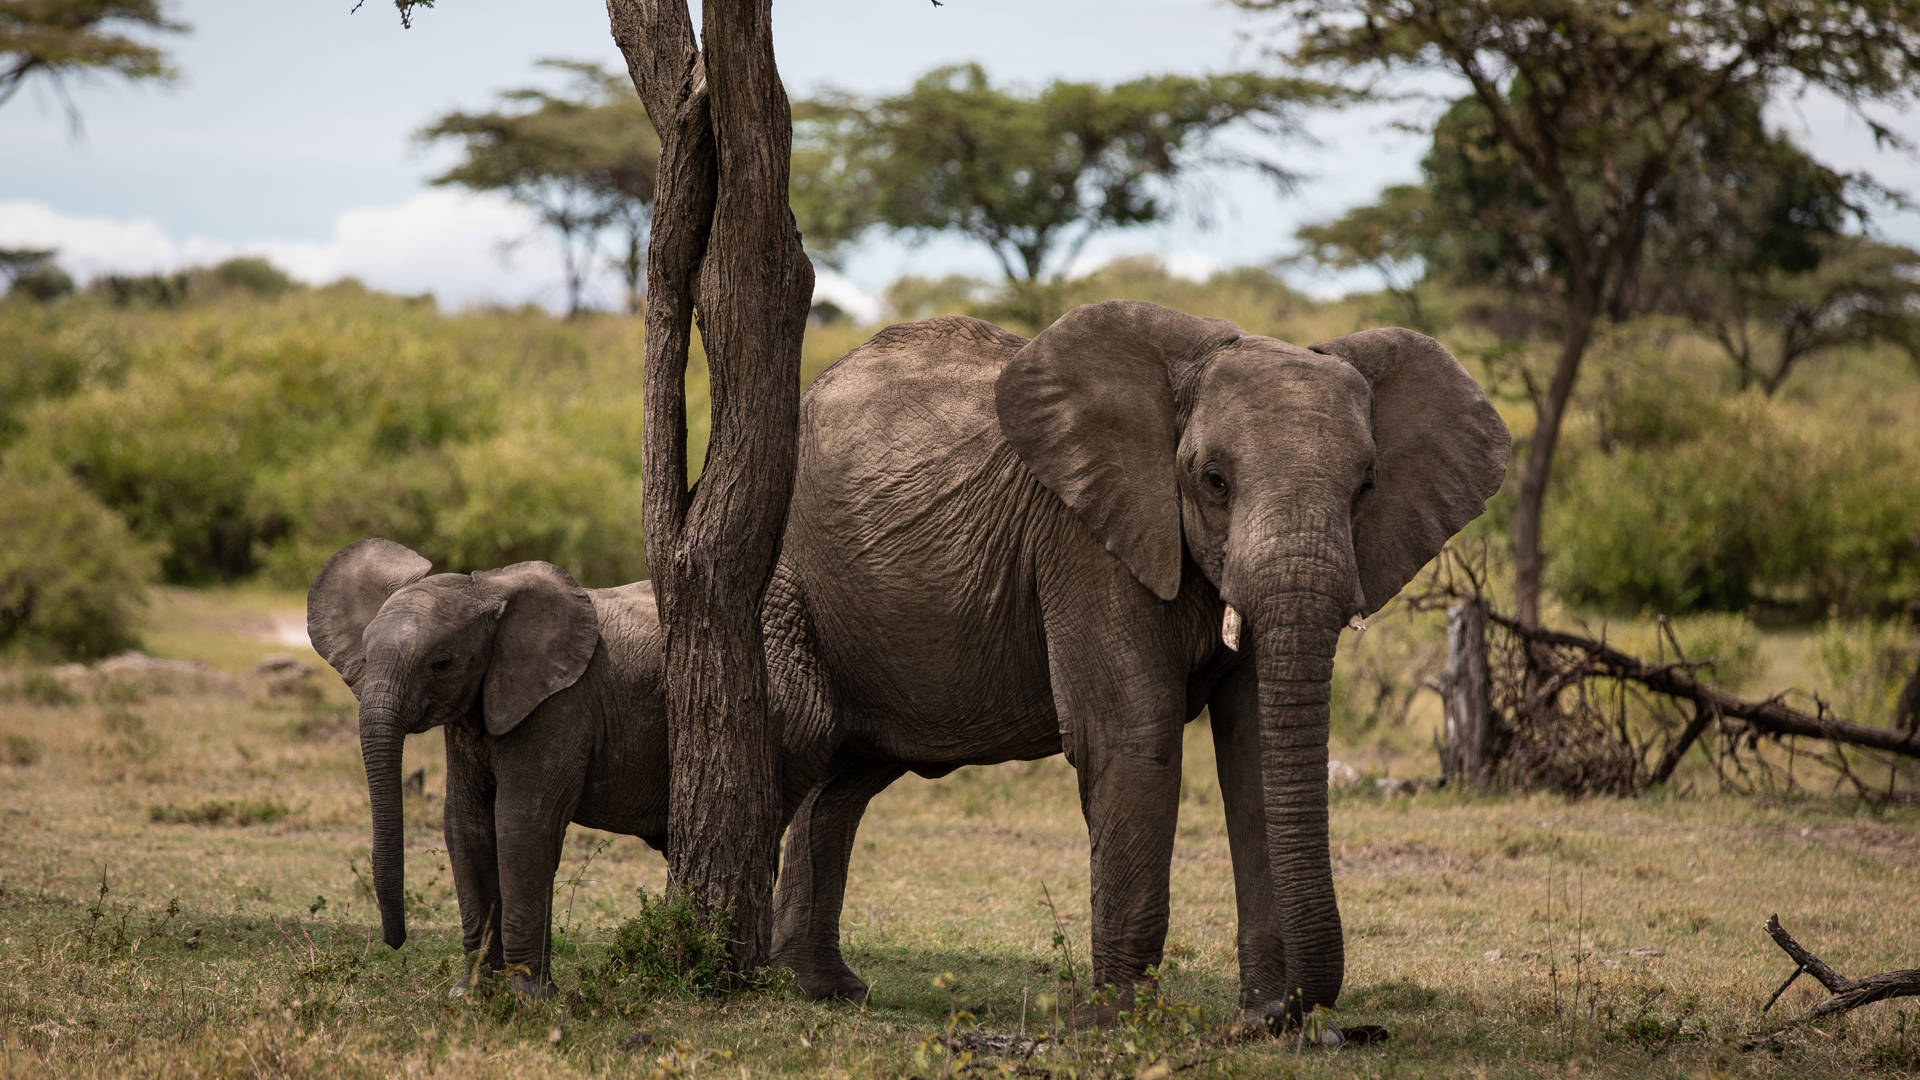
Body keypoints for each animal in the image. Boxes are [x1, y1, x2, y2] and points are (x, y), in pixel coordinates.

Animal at [311, 534, 672, 991]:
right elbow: (466, 826)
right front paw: (472, 990)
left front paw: (527, 995)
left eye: (441, 664)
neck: (489, 594)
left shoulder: (560, 705)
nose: (395, 942)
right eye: (364, 656)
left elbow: (522, 825)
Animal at [771, 297, 1505, 1022]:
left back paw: (828, 988)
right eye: (1214, 482)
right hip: (785, 578)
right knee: (802, 730)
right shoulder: (1084, 538)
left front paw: (1259, 1020)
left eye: (1367, 488)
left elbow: (1252, 751)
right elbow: (1132, 735)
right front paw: (1121, 1021)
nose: (1287, 1014)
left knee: (844, 780)